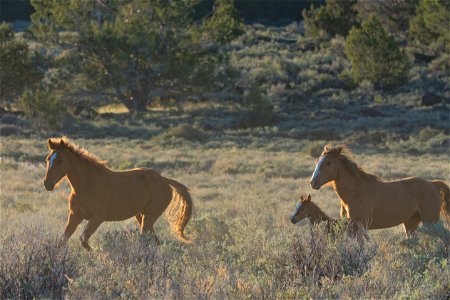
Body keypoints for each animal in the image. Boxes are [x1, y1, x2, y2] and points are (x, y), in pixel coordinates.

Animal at [43, 137, 194, 250]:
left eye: (60, 160)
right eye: (48, 159)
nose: (47, 184)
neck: (87, 185)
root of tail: (165, 180)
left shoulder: (97, 218)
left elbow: (83, 240)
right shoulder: (75, 216)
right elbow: (63, 241)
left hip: (149, 216)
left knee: (145, 239)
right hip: (142, 216)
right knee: (155, 240)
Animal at [310, 145, 450, 237]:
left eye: (328, 163)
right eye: (317, 161)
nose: (313, 182)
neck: (356, 193)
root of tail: (432, 184)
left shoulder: (359, 226)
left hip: (430, 220)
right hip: (411, 222)